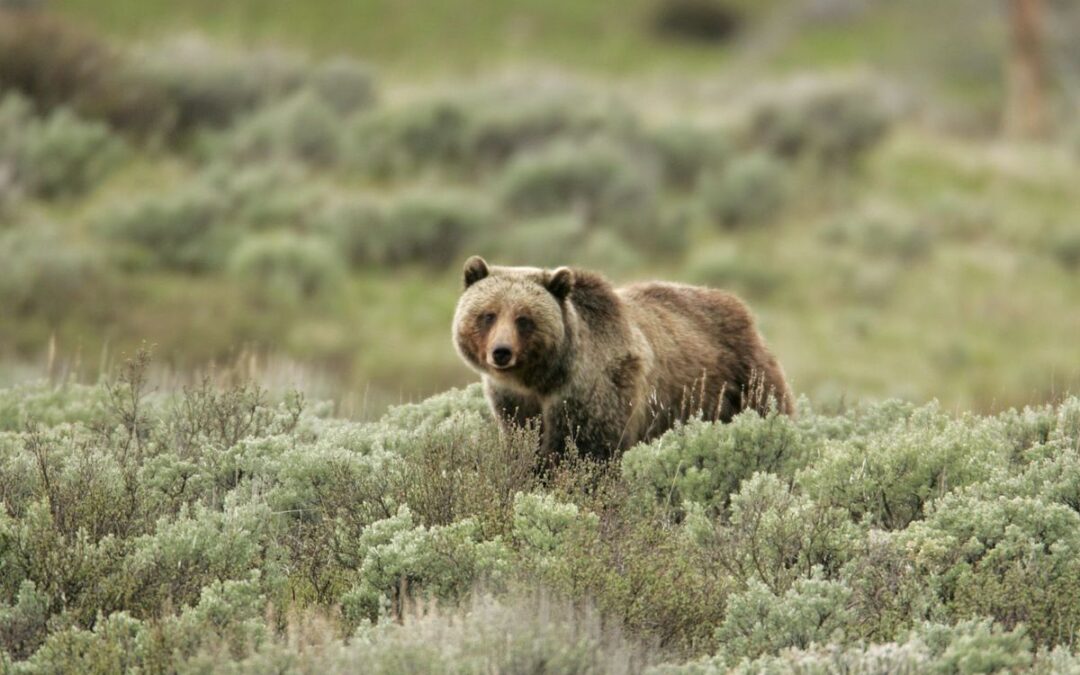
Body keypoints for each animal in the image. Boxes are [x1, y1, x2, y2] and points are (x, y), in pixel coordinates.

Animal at [452, 256, 794, 460]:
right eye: (488, 315)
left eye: (524, 319)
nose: (501, 352)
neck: (543, 378)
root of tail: (742, 309)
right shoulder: (515, 402)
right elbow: (525, 441)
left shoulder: (596, 390)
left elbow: (588, 450)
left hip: (742, 382)